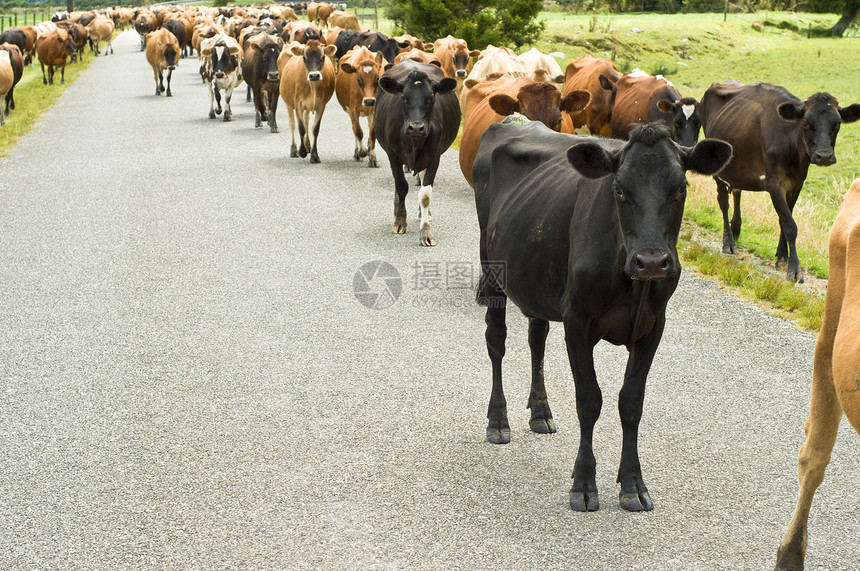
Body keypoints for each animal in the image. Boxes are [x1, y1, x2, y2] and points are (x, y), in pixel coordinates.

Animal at [372, 59, 460, 247]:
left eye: (431, 97)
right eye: (404, 97)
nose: (417, 127)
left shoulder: (434, 156)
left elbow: (425, 195)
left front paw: (425, 231)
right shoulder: (393, 155)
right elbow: (401, 186)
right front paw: (400, 221)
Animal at [700, 81, 860, 282]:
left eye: (837, 123)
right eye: (805, 122)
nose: (824, 156)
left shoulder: (797, 184)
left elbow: (783, 220)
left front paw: (782, 256)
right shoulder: (775, 184)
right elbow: (790, 225)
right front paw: (794, 268)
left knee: (736, 192)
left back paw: (736, 229)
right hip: (717, 167)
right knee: (723, 203)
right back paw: (728, 242)